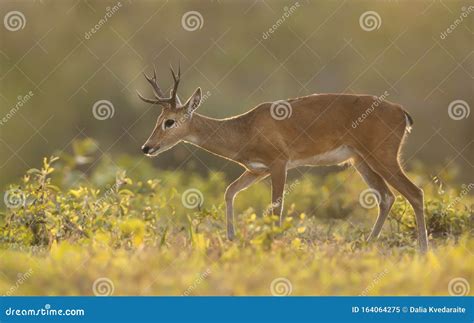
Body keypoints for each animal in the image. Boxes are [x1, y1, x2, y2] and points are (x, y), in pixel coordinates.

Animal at [137, 66, 430, 253]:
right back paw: (367, 245)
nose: (147, 147)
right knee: (387, 197)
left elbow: (276, 208)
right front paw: (232, 238)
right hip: (361, 161)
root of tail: (402, 112)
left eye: (169, 121)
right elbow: (230, 191)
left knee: (414, 192)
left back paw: (423, 251)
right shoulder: (257, 170)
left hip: (382, 156)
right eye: (157, 119)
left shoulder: (279, 164)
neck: (244, 130)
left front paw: (273, 244)